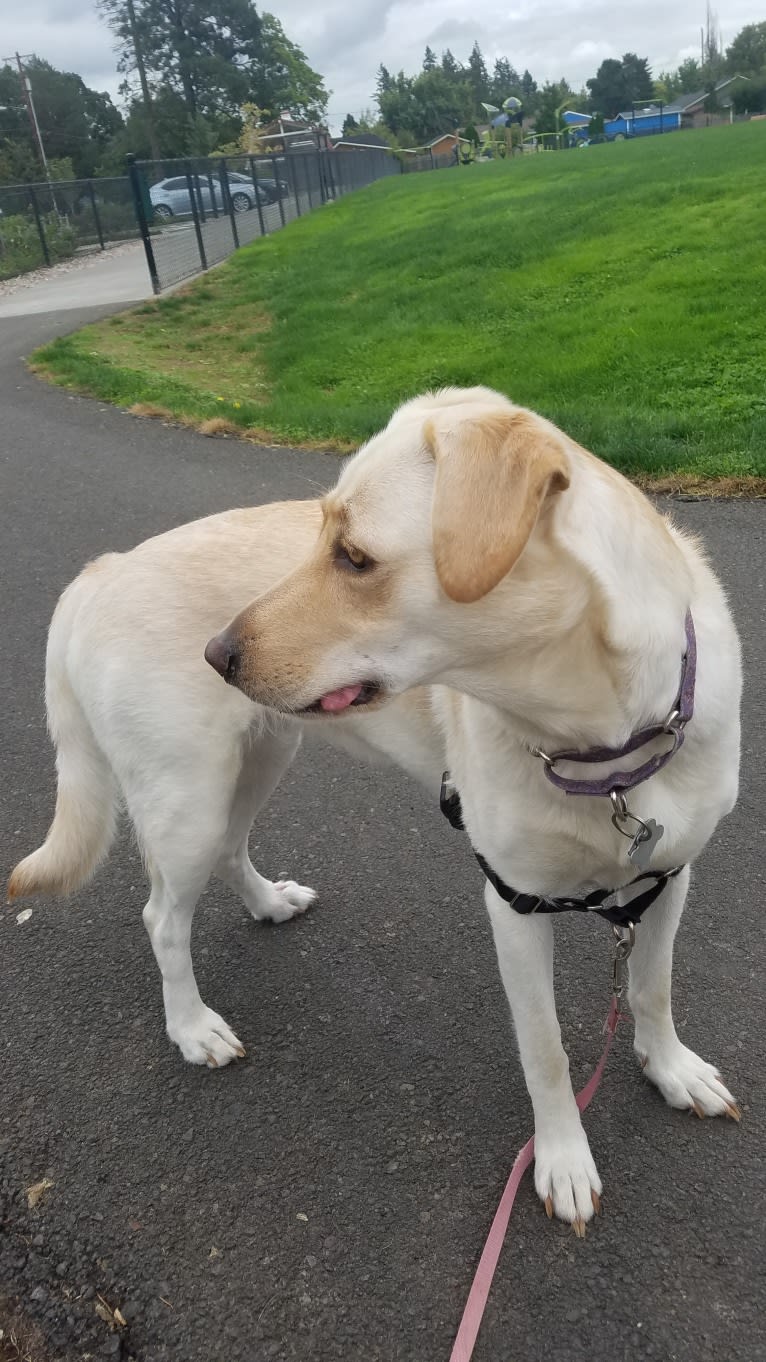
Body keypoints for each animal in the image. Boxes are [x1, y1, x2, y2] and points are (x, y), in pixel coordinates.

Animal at [8, 386, 741, 1236]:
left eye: (353, 556)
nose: (216, 654)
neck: (602, 750)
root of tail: (102, 570)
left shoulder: (669, 874)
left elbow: (651, 988)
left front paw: (671, 1069)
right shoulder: (514, 905)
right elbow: (548, 1049)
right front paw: (561, 1159)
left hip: (263, 754)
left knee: (232, 849)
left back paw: (268, 904)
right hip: (186, 796)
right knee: (162, 917)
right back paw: (192, 1028)